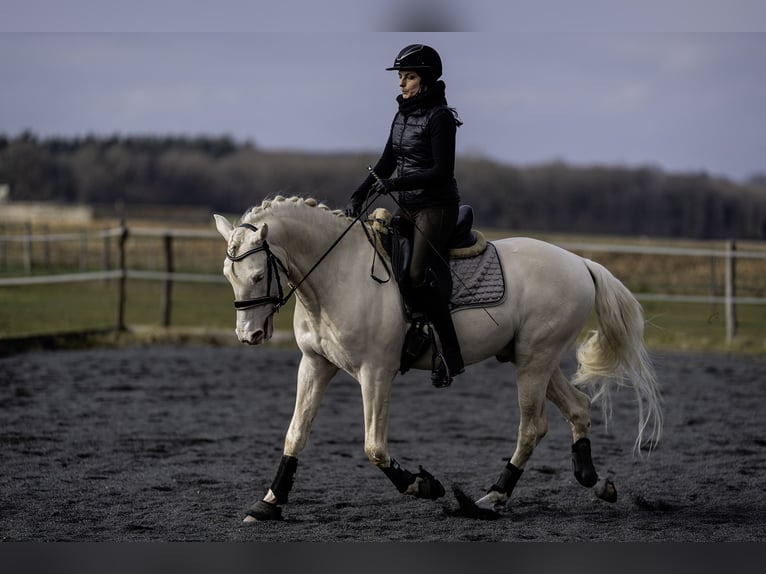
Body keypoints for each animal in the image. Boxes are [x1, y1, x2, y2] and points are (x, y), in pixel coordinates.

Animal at [213, 196, 664, 524]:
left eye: (258, 275)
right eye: (227, 275)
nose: (248, 335)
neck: (338, 275)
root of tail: (580, 262)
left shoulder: (376, 373)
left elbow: (374, 447)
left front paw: (424, 485)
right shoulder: (314, 364)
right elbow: (296, 434)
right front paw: (269, 503)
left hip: (535, 362)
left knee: (532, 428)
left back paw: (490, 498)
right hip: (534, 358)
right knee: (578, 408)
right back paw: (595, 483)